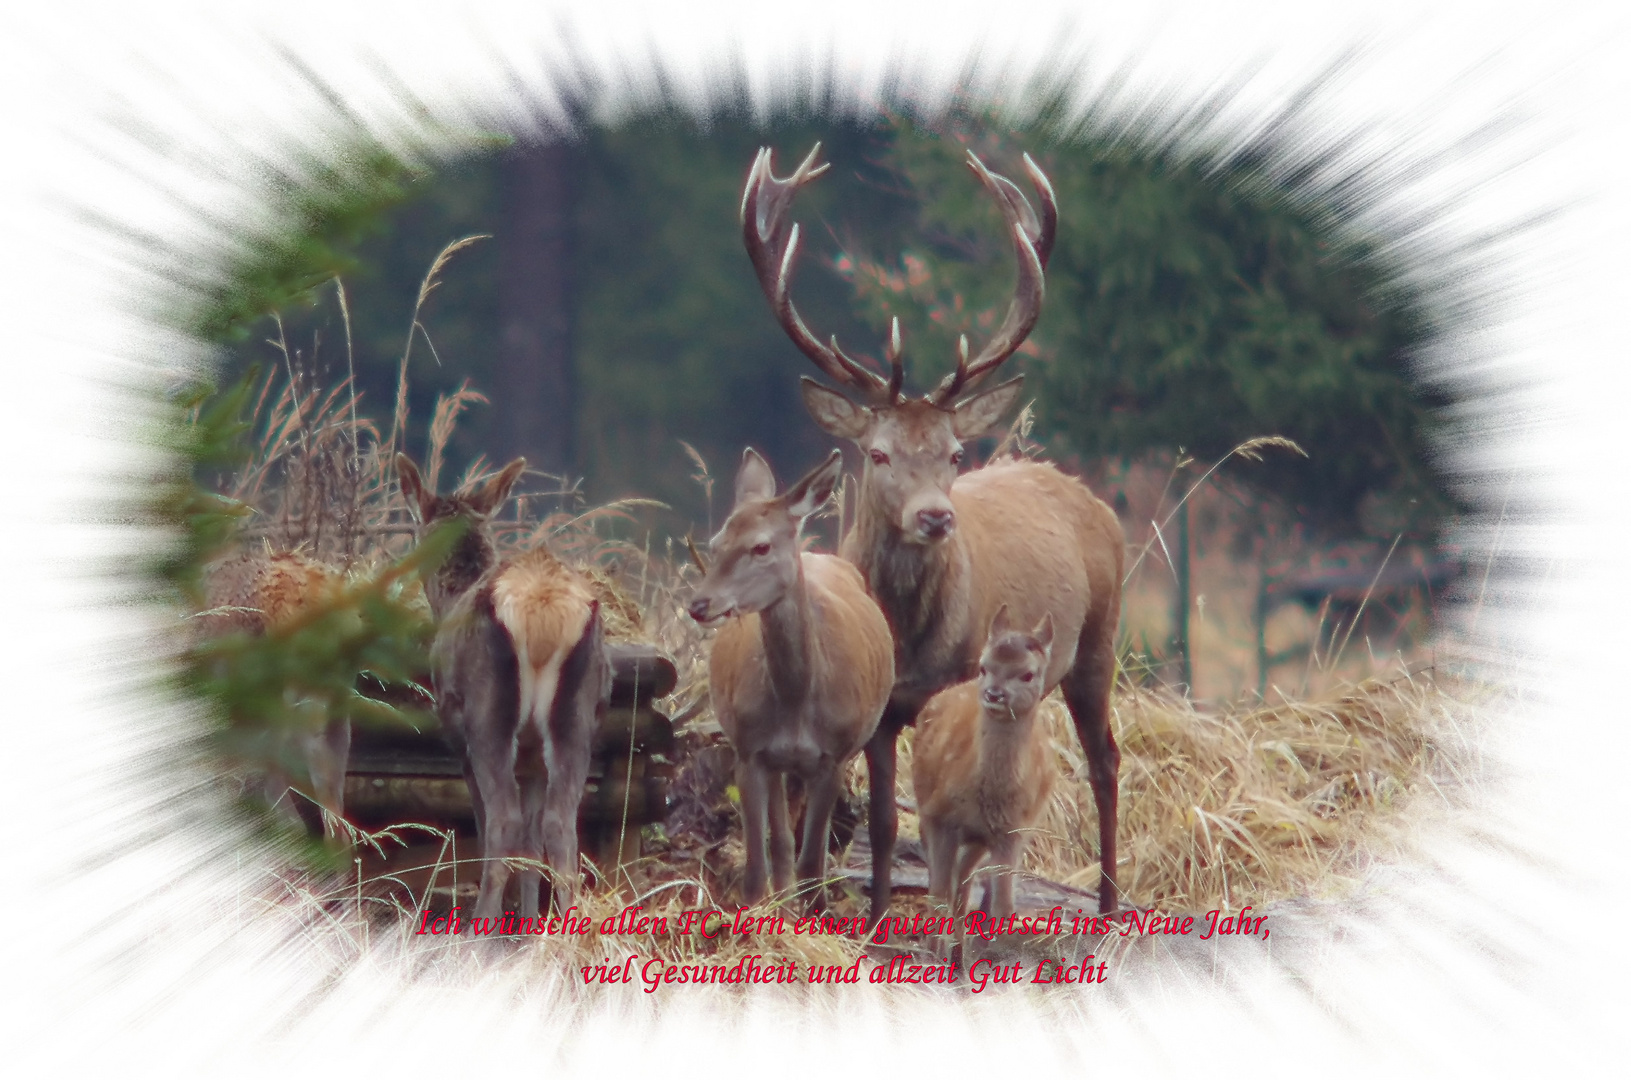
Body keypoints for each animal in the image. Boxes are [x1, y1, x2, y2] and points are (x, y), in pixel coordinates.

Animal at [394, 456, 613, 920]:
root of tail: (542, 615)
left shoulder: (456, 733)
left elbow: (489, 826)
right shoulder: (530, 756)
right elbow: (531, 845)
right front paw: (528, 923)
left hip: (487, 714)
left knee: (502, 821)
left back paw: (479, 926)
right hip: (577, 718)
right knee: (560, 826)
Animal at [685, 450, 893, 913]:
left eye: (761, 546)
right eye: (715, 543)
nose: (699, 604)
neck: (798, 705)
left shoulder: (835, 754)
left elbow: (812, 860)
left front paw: (813, 915)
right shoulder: (748, 749)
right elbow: (762, 859)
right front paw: (761, 914)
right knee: (780, 842)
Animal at [913, 603, 1063, 926]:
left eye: (1028, 674)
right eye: (984, 666)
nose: (994, 693)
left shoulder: (1011, 833)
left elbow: (1003, 907)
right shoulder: (938, 815)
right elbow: (938, 899)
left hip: (985, 838)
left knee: (963, 881)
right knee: (948, 883)